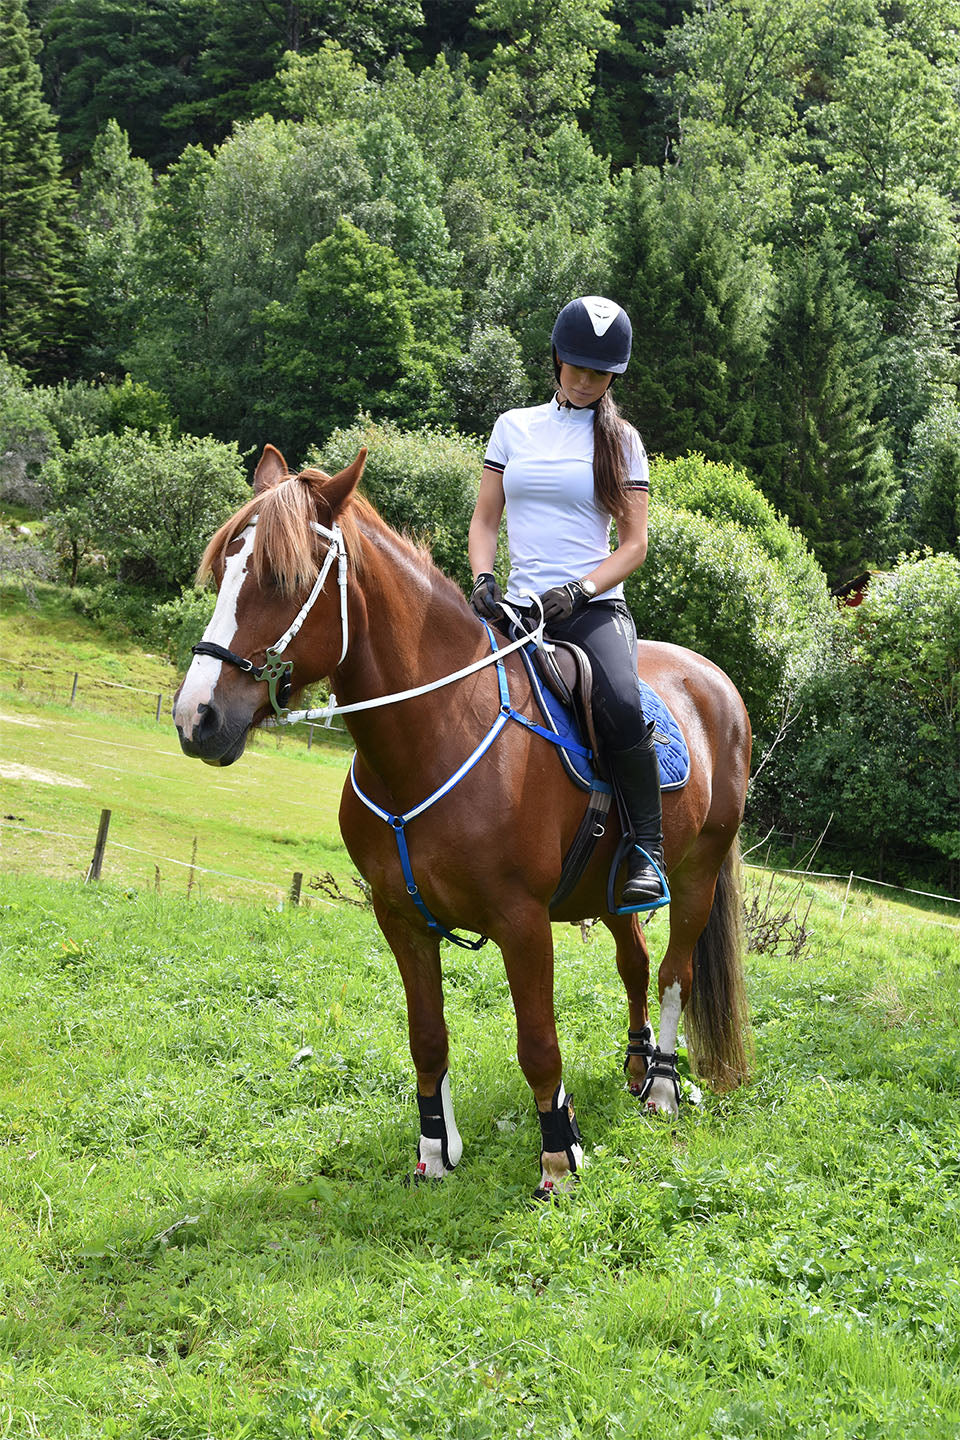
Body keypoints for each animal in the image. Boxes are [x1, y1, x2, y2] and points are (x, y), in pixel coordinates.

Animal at [176, 446, 754, 1192]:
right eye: (224, 571)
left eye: (283, 577)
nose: (197, 717)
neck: (438, 732)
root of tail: (715, 681)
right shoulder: (400, 916)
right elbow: (427, 1038)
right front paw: (434, 1151)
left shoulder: (522, 921)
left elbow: (538, 1044)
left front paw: (559, 1157)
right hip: (612, 889)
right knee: (635, 963)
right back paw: (636, 1064)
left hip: (697, 873)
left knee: (674, 973)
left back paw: (660, 1085)